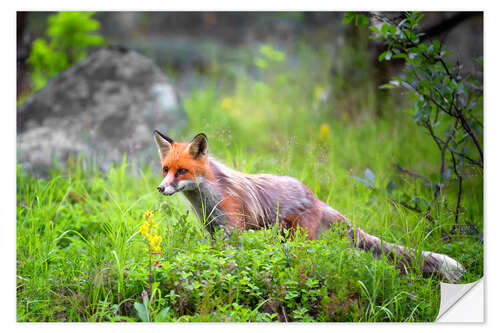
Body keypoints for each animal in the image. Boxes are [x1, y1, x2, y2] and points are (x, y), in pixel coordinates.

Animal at [153, 130, 464, 280]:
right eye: (165, 169)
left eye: (182, 172)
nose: (161, 188)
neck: (207, 198)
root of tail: (316, 197)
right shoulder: (214, 232)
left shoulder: (234, 230)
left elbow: (230, 261)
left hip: (300, 240)